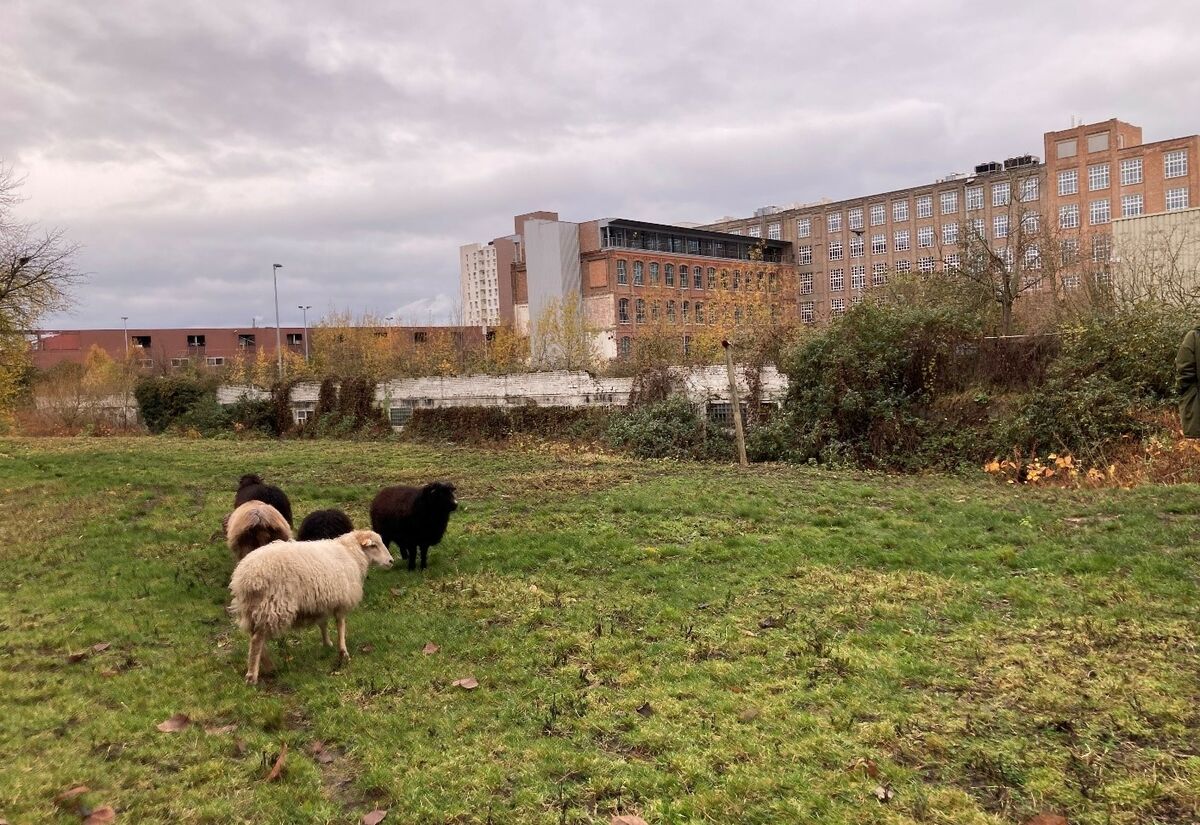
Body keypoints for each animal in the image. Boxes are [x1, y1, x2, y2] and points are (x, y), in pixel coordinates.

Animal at [226, 527, 391, 681]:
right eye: (374, 545)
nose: (391, 561)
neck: (351, 553)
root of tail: (245, 578)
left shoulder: (322, 601)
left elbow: (323, 624)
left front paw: (327, 643)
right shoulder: (341, 600)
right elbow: (341, 625)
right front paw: (343, 652)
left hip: (251, 609)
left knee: (254, 637)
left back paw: (268, 666)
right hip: (273, 606)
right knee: (257, 640)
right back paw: (252, 675)